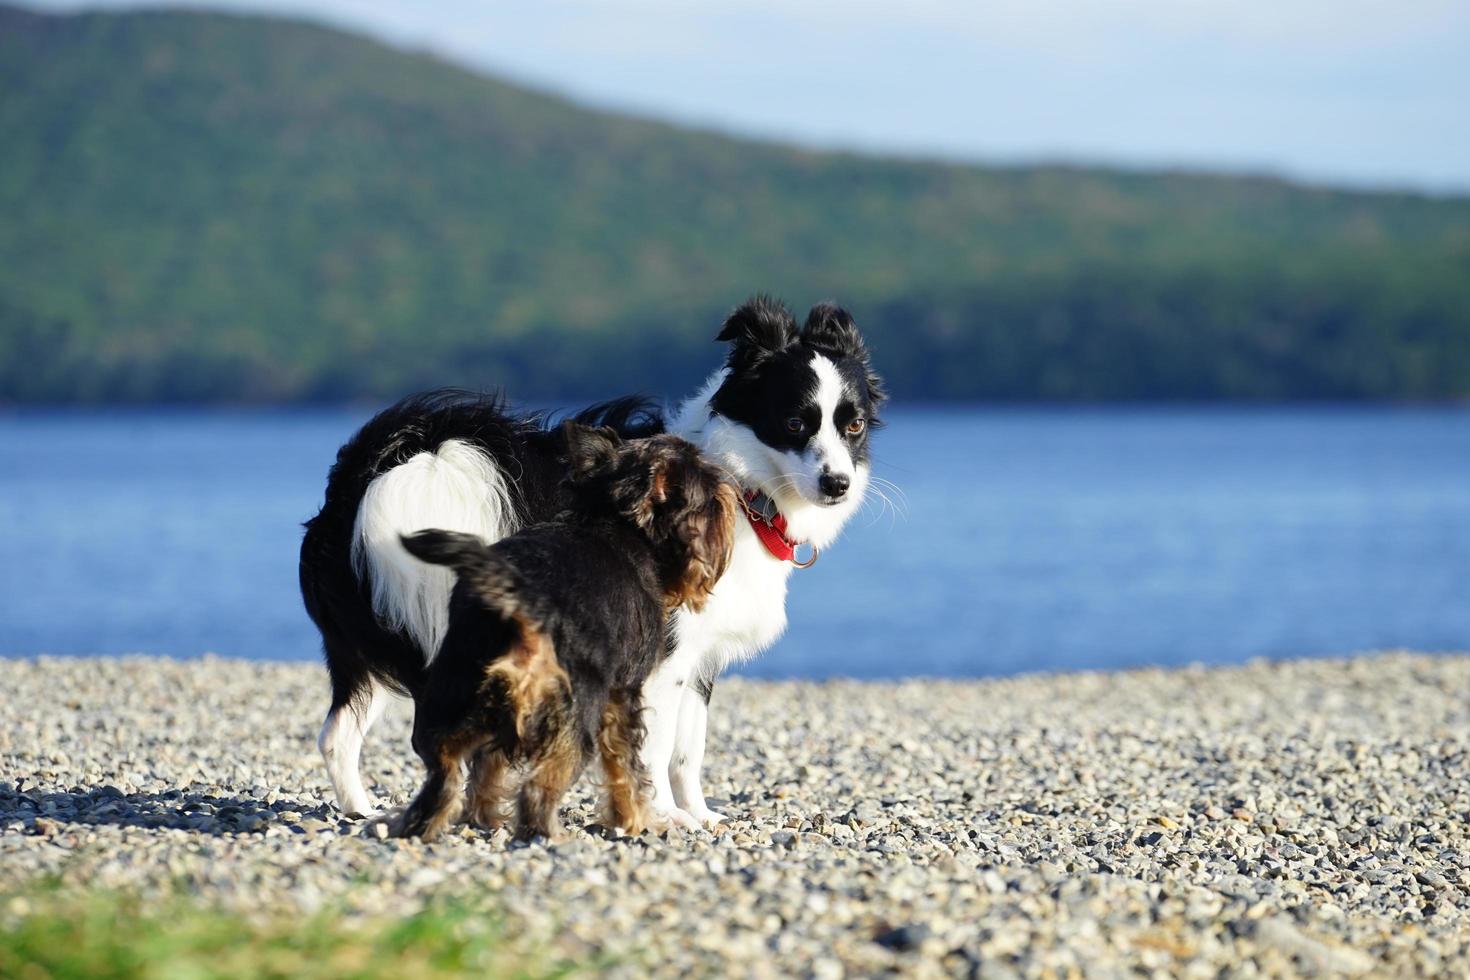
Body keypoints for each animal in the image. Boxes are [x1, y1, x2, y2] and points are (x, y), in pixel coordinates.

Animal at [391, 423, 735, 846]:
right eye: (711, 503)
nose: (731, 497)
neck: (613, 520)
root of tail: (521, 601)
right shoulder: (623, 694)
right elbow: (627, 769)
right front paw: (638, 821)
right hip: (572, 713)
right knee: (539, 786)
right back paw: (547, 833)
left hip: (457, 692)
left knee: (450, 768)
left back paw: (459, 821)